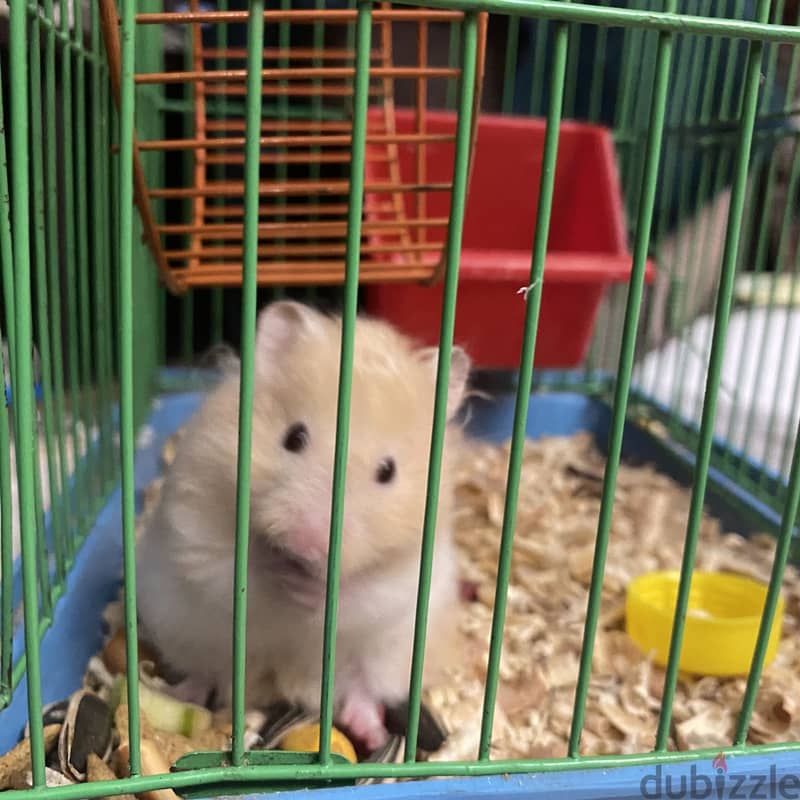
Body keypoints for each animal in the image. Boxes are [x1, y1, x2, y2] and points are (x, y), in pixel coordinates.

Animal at [135, 300, 470, 751]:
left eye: (388, 471)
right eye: (293, 437)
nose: (307, 542)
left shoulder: (411, 569)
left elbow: (360, 594)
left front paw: (310, 588)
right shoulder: (194, 524)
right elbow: (237, 572)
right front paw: (276, 572)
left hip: (394, 654)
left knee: (363, 689)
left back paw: (370, 728)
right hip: (181, 625)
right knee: (205, 670)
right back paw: (178, 694)